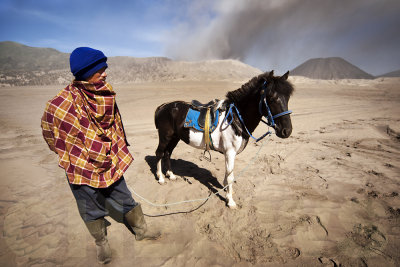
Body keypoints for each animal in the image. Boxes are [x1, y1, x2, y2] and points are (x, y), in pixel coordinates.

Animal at [153, 70, 294, 208]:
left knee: (167, 153)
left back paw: (171, 175)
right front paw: (230, 201)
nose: (286, 131)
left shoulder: (229, 153)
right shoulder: (230, 152)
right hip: (165, 136)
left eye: (288, 98)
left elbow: (228, 174)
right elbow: (230, 176)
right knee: (159, 153)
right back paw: (161, 178)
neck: (235, 117)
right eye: (272, 98)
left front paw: (227, 190)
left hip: (174, 138)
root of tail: (162, 107)